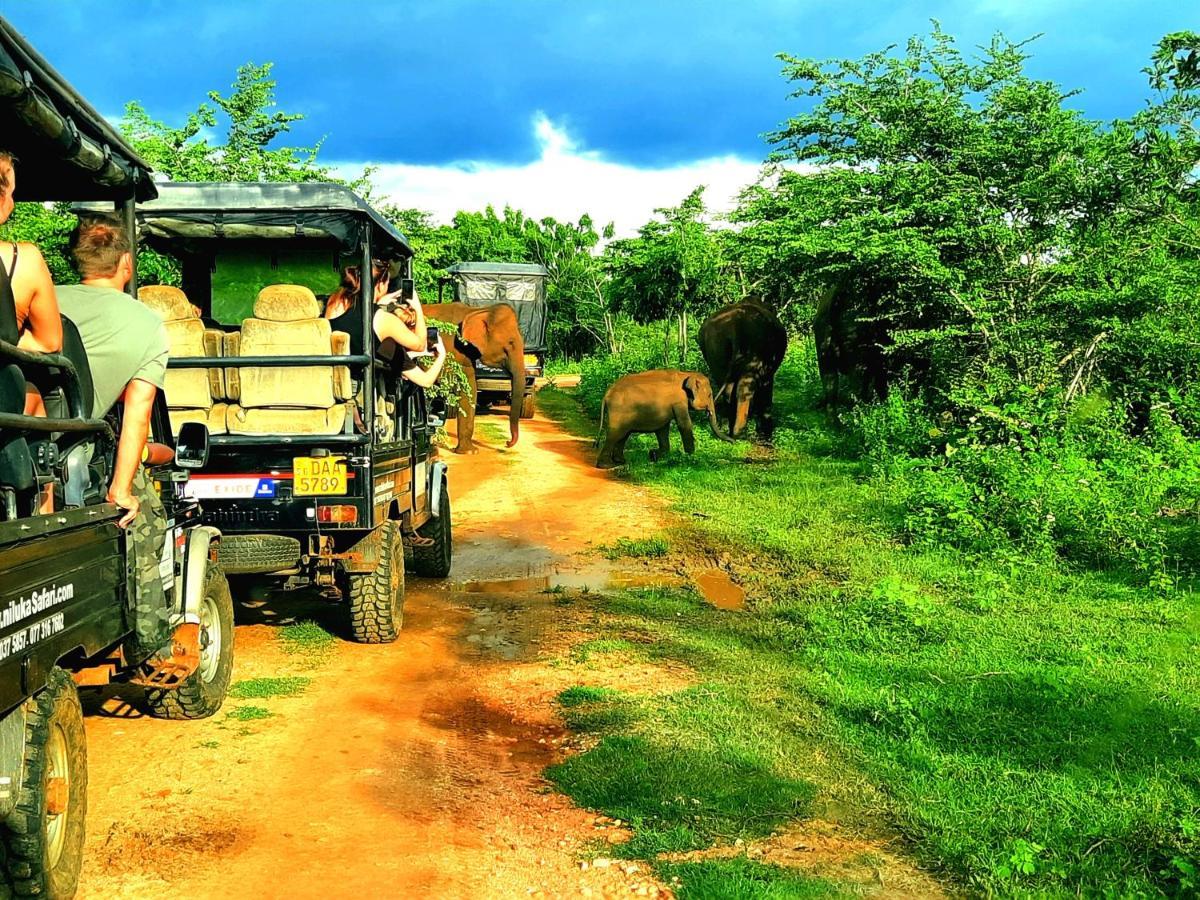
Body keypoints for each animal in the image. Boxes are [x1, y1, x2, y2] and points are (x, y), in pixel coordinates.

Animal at [429, 303, 528, 453]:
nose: (507, 443)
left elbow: (470, 386)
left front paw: (469, 452)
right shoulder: (449, 348)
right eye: (511, 343)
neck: (478, 310)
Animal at [597, 367, 729, 468]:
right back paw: (605, 466)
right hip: (619, 410)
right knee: (615, 434)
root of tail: (607, 393)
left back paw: (621, 461)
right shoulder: (679, 400)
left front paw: (654, 455)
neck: (686, 374)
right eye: (710, 395)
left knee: (623, 435)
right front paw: (691, 457)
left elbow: (662, 429)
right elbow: (684, 424)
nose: (733, 441)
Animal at [700, 300, 787, 436]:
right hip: (755, 349)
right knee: (745, 387)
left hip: (715, 349)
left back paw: (730, 429)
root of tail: (736, 328)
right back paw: (739, 432)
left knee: (727, 388)